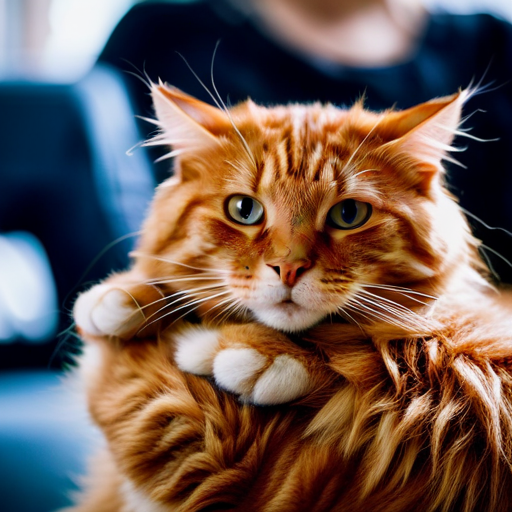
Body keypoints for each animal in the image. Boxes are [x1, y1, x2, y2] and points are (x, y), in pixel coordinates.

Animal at [68, 84, 512, 512]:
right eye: (243, 209)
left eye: (349, 215)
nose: (288, 268)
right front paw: (131, 293)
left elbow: (372, 354)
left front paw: (261, 355)